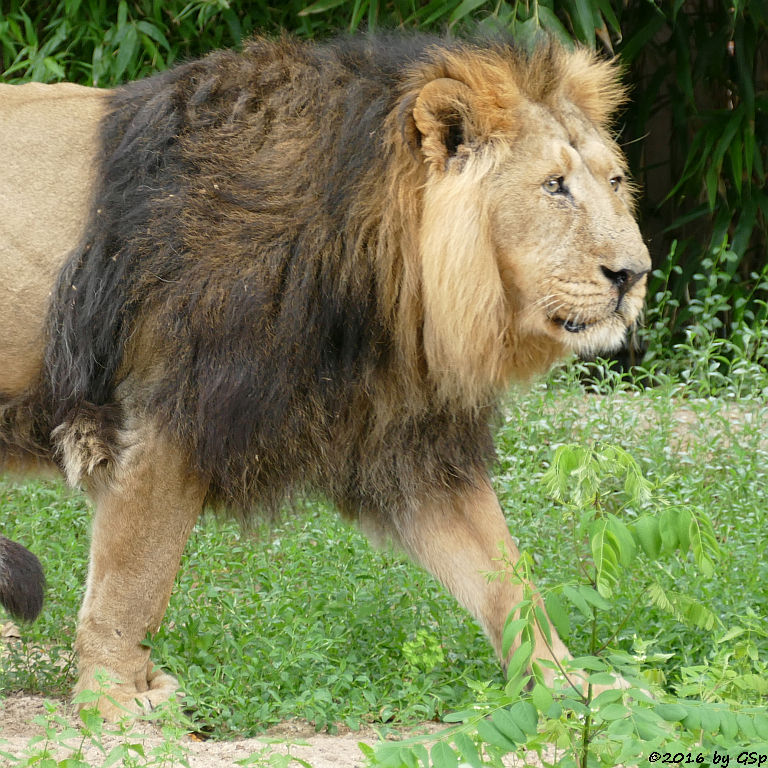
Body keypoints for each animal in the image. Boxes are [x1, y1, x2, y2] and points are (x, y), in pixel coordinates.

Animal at [0, 34, 648, 720]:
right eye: (555, 186)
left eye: (614, 180)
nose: (633, 274)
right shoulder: (162, 418)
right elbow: (135, 581)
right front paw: (116, 701)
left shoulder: (410, 444)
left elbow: (507, 580)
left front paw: (576, 687)